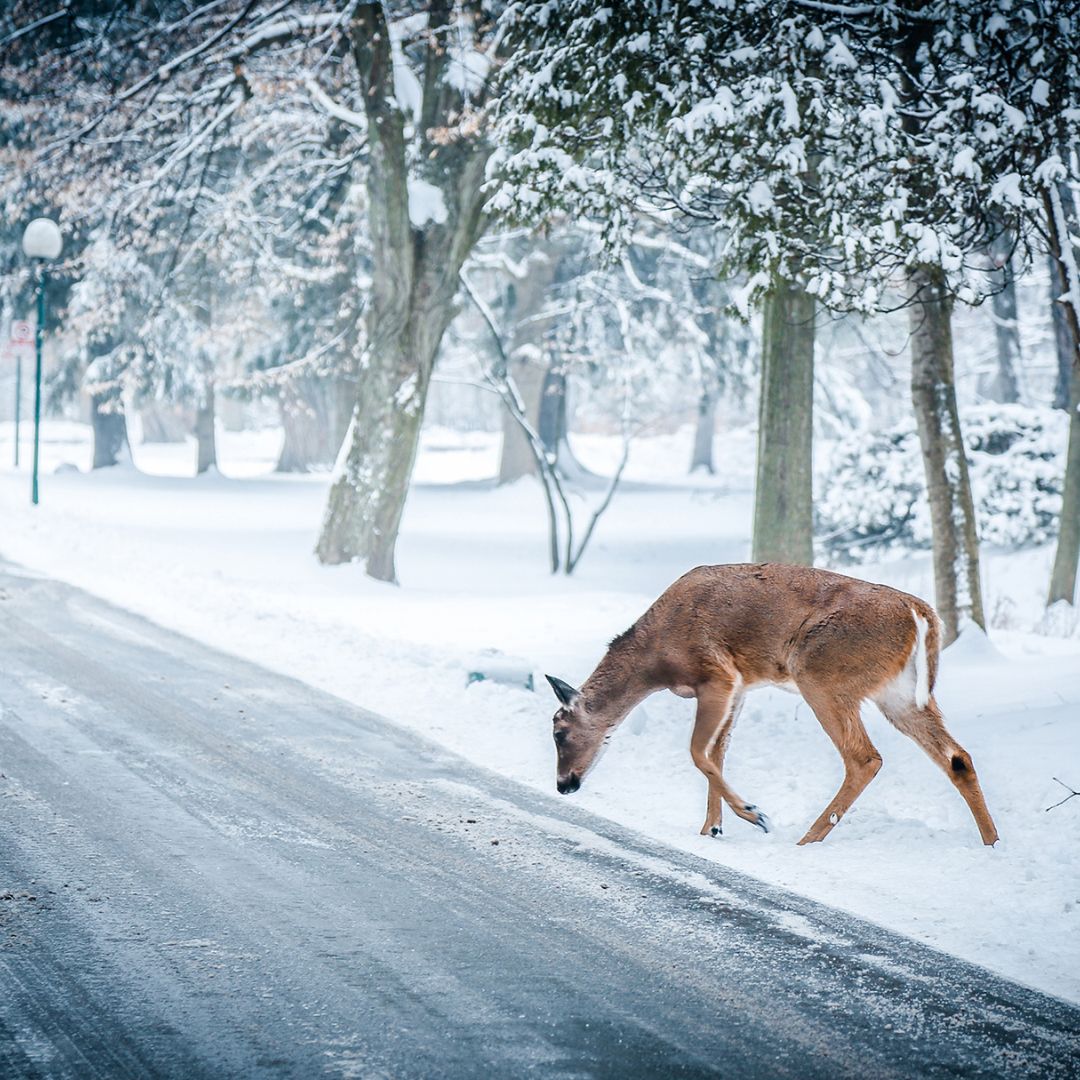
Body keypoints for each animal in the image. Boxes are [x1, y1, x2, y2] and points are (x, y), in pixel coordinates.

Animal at [544, 561, 997, 846]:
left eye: (559, 732)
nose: (564, 785)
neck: (655, 659)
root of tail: (920, 612)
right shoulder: (741, 686)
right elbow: (717, 753)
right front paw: (712, 829)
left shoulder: (718, 674)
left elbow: (697, 752)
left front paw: (753, 814)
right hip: (899, 693)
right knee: (957, 757)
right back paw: (991, 842)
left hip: (821, 673)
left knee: (864, 757)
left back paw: (807, 838)